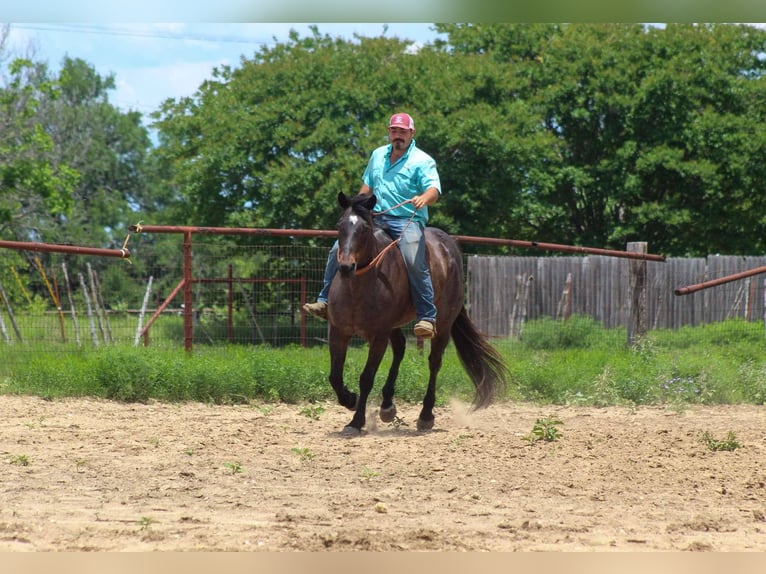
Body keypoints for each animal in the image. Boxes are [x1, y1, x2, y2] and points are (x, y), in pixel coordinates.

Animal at [325, 191, 510, 435]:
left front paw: (356, 421)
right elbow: (335, 376)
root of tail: (450, 247)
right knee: (400, 348)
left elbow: (366, 378)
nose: (346, 267)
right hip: (395, 325)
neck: (360, 287)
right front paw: (350, 400)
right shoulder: (338, 331)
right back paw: (387, 406)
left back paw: (425, 416)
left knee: (434, 362)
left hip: (442, 324)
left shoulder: (378, 336)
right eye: (339, 225)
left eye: (364, 228)